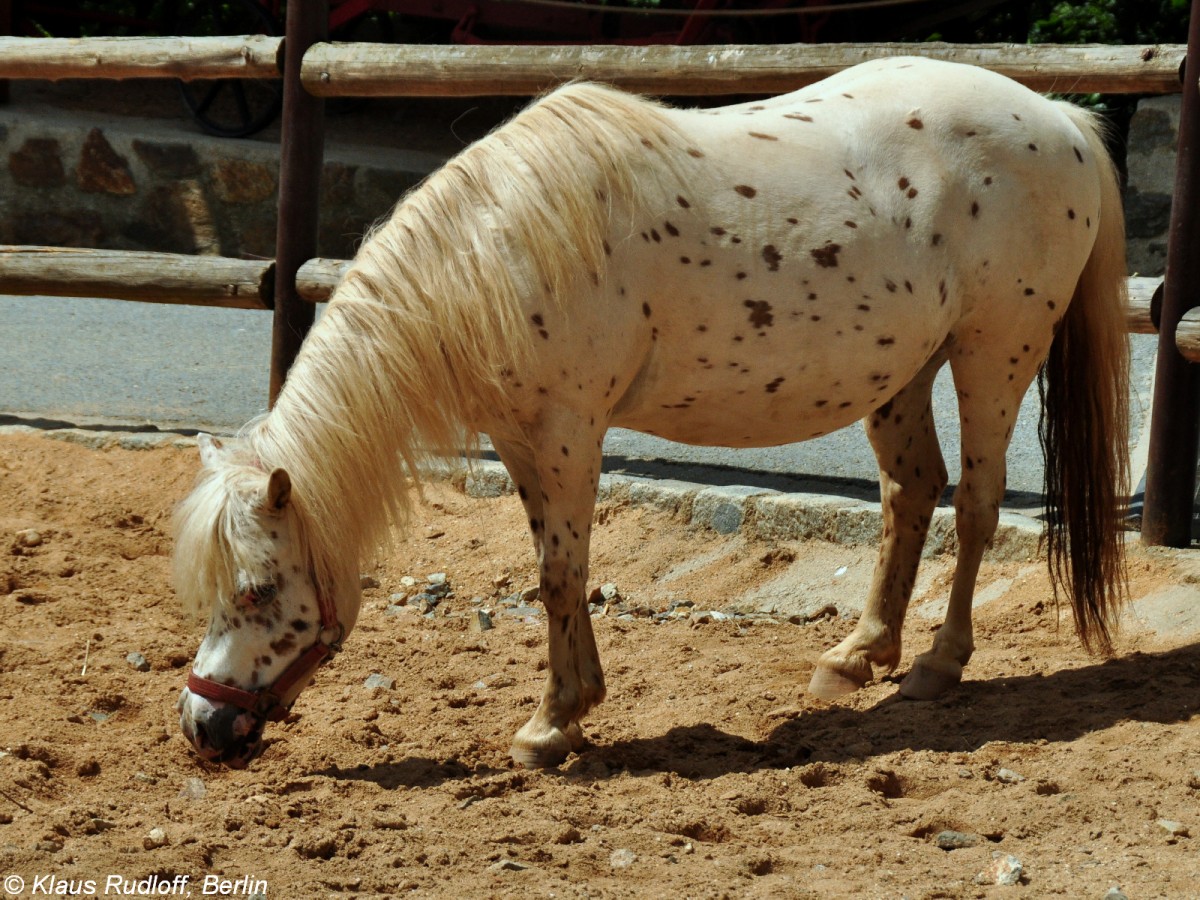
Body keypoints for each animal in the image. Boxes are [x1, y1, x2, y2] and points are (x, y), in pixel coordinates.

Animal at [174, 60, 1128, 772]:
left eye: (257, 591)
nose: (202, 728)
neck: (488, 255)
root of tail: (1058, 118)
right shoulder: (523, 441)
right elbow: (554, 571)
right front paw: (572, 709)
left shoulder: (568, 434)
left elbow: (561, 574)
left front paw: (550, 726)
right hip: (906, 371)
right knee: (911, 495)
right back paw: (857, 657)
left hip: (994, 355)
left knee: (974, 507)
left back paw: (936, 665)